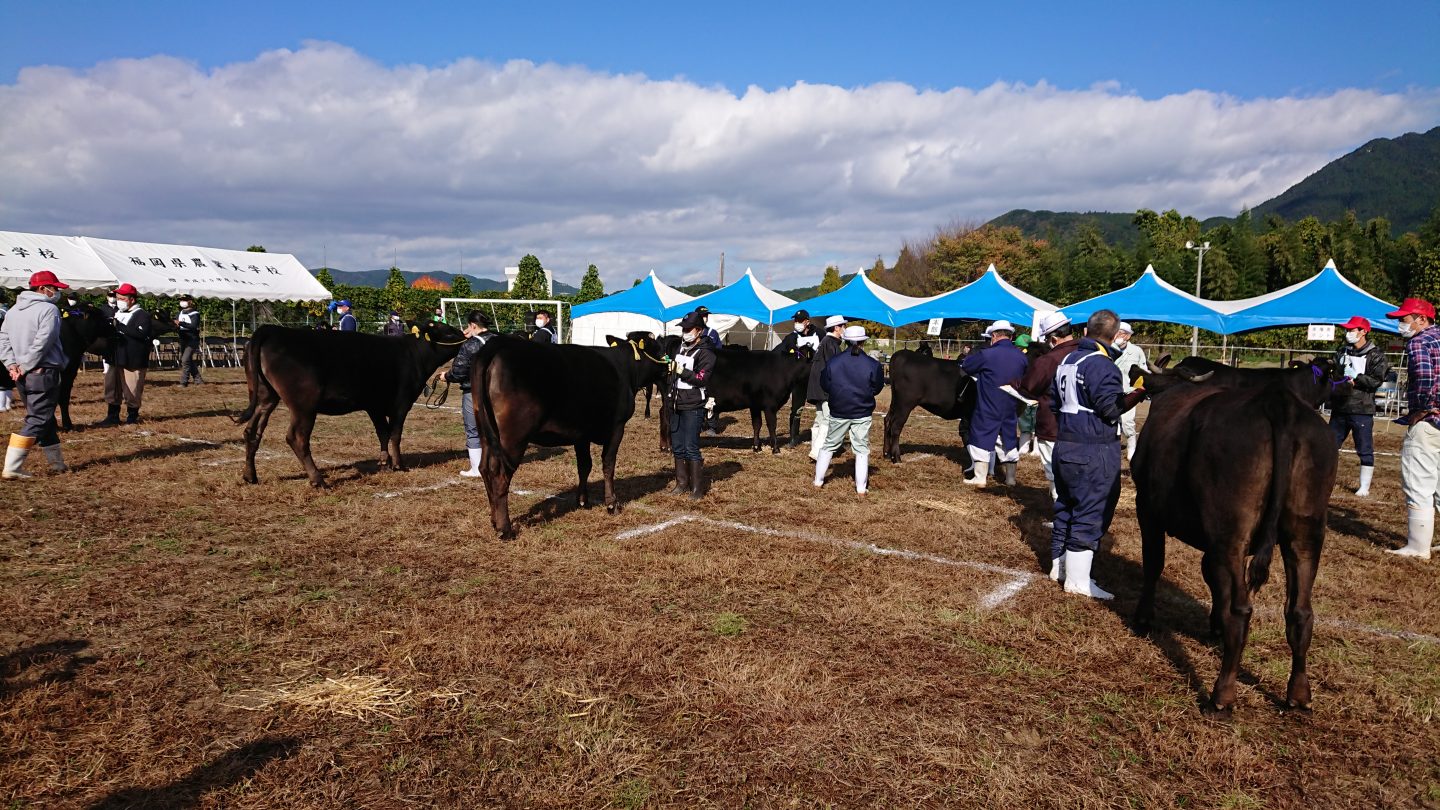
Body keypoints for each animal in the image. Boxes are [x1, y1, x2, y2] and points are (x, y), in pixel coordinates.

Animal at [234, 319, 460, 484]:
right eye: (449, 333)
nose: (465, 336)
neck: (413, 354)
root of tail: (271, 330)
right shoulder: (402, 401)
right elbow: (395, 434)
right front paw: (399, 465)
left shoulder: (375, 405)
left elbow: (383, 433)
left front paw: (384, 462)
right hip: (304, 404)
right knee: (296, 438)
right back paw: (317, 479)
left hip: (266, 396)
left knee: (251, 432)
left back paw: (250, 476)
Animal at [472, 328, 673, 536]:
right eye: (659, 350)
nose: (669, 371)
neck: (625, 368)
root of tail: (498, 344)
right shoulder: (617, 427)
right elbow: (608, 464)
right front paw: (612, 504)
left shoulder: (581, 433)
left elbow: (584, 466)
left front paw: (582, 501)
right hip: (513, 436)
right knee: (500, 474)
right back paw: (505, 529)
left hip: (486, 432)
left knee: (485, 468)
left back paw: (494, 520)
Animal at [659, 334, 817, 455]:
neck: (784, 370)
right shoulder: (770, 404)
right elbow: (772, 425)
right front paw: (775, 449)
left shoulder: (755, 404)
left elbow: (757, 425)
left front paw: (756, 447)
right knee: (667, 418)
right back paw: (670, 448)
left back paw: (664, 446)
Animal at [1134, 354, 1347, 711]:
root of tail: (1280, 404)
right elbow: (1212, 578)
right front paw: (1214, 627)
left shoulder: (1147, 507)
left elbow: (1154, 564)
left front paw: (1144, 620)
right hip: (1306, 530)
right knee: (1300, 611)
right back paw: (1298, 694)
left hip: (1230, 529)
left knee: (1241, 609)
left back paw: (1222, 694)